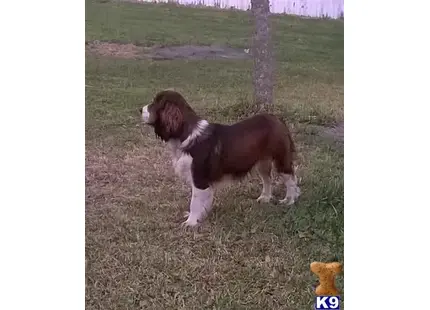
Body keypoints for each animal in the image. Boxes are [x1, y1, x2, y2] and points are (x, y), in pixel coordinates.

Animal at [139, 89, 300, 228]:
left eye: (155, 103)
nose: (140, 109)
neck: (186, 134)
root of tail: (278, 119)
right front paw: (199, 217)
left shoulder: (199, 178)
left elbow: (194, 202)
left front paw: (190, 222)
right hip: (262, 162)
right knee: (267, 180)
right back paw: (265, 198)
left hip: (281, 159)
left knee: (291, 179)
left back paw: (289, 200)